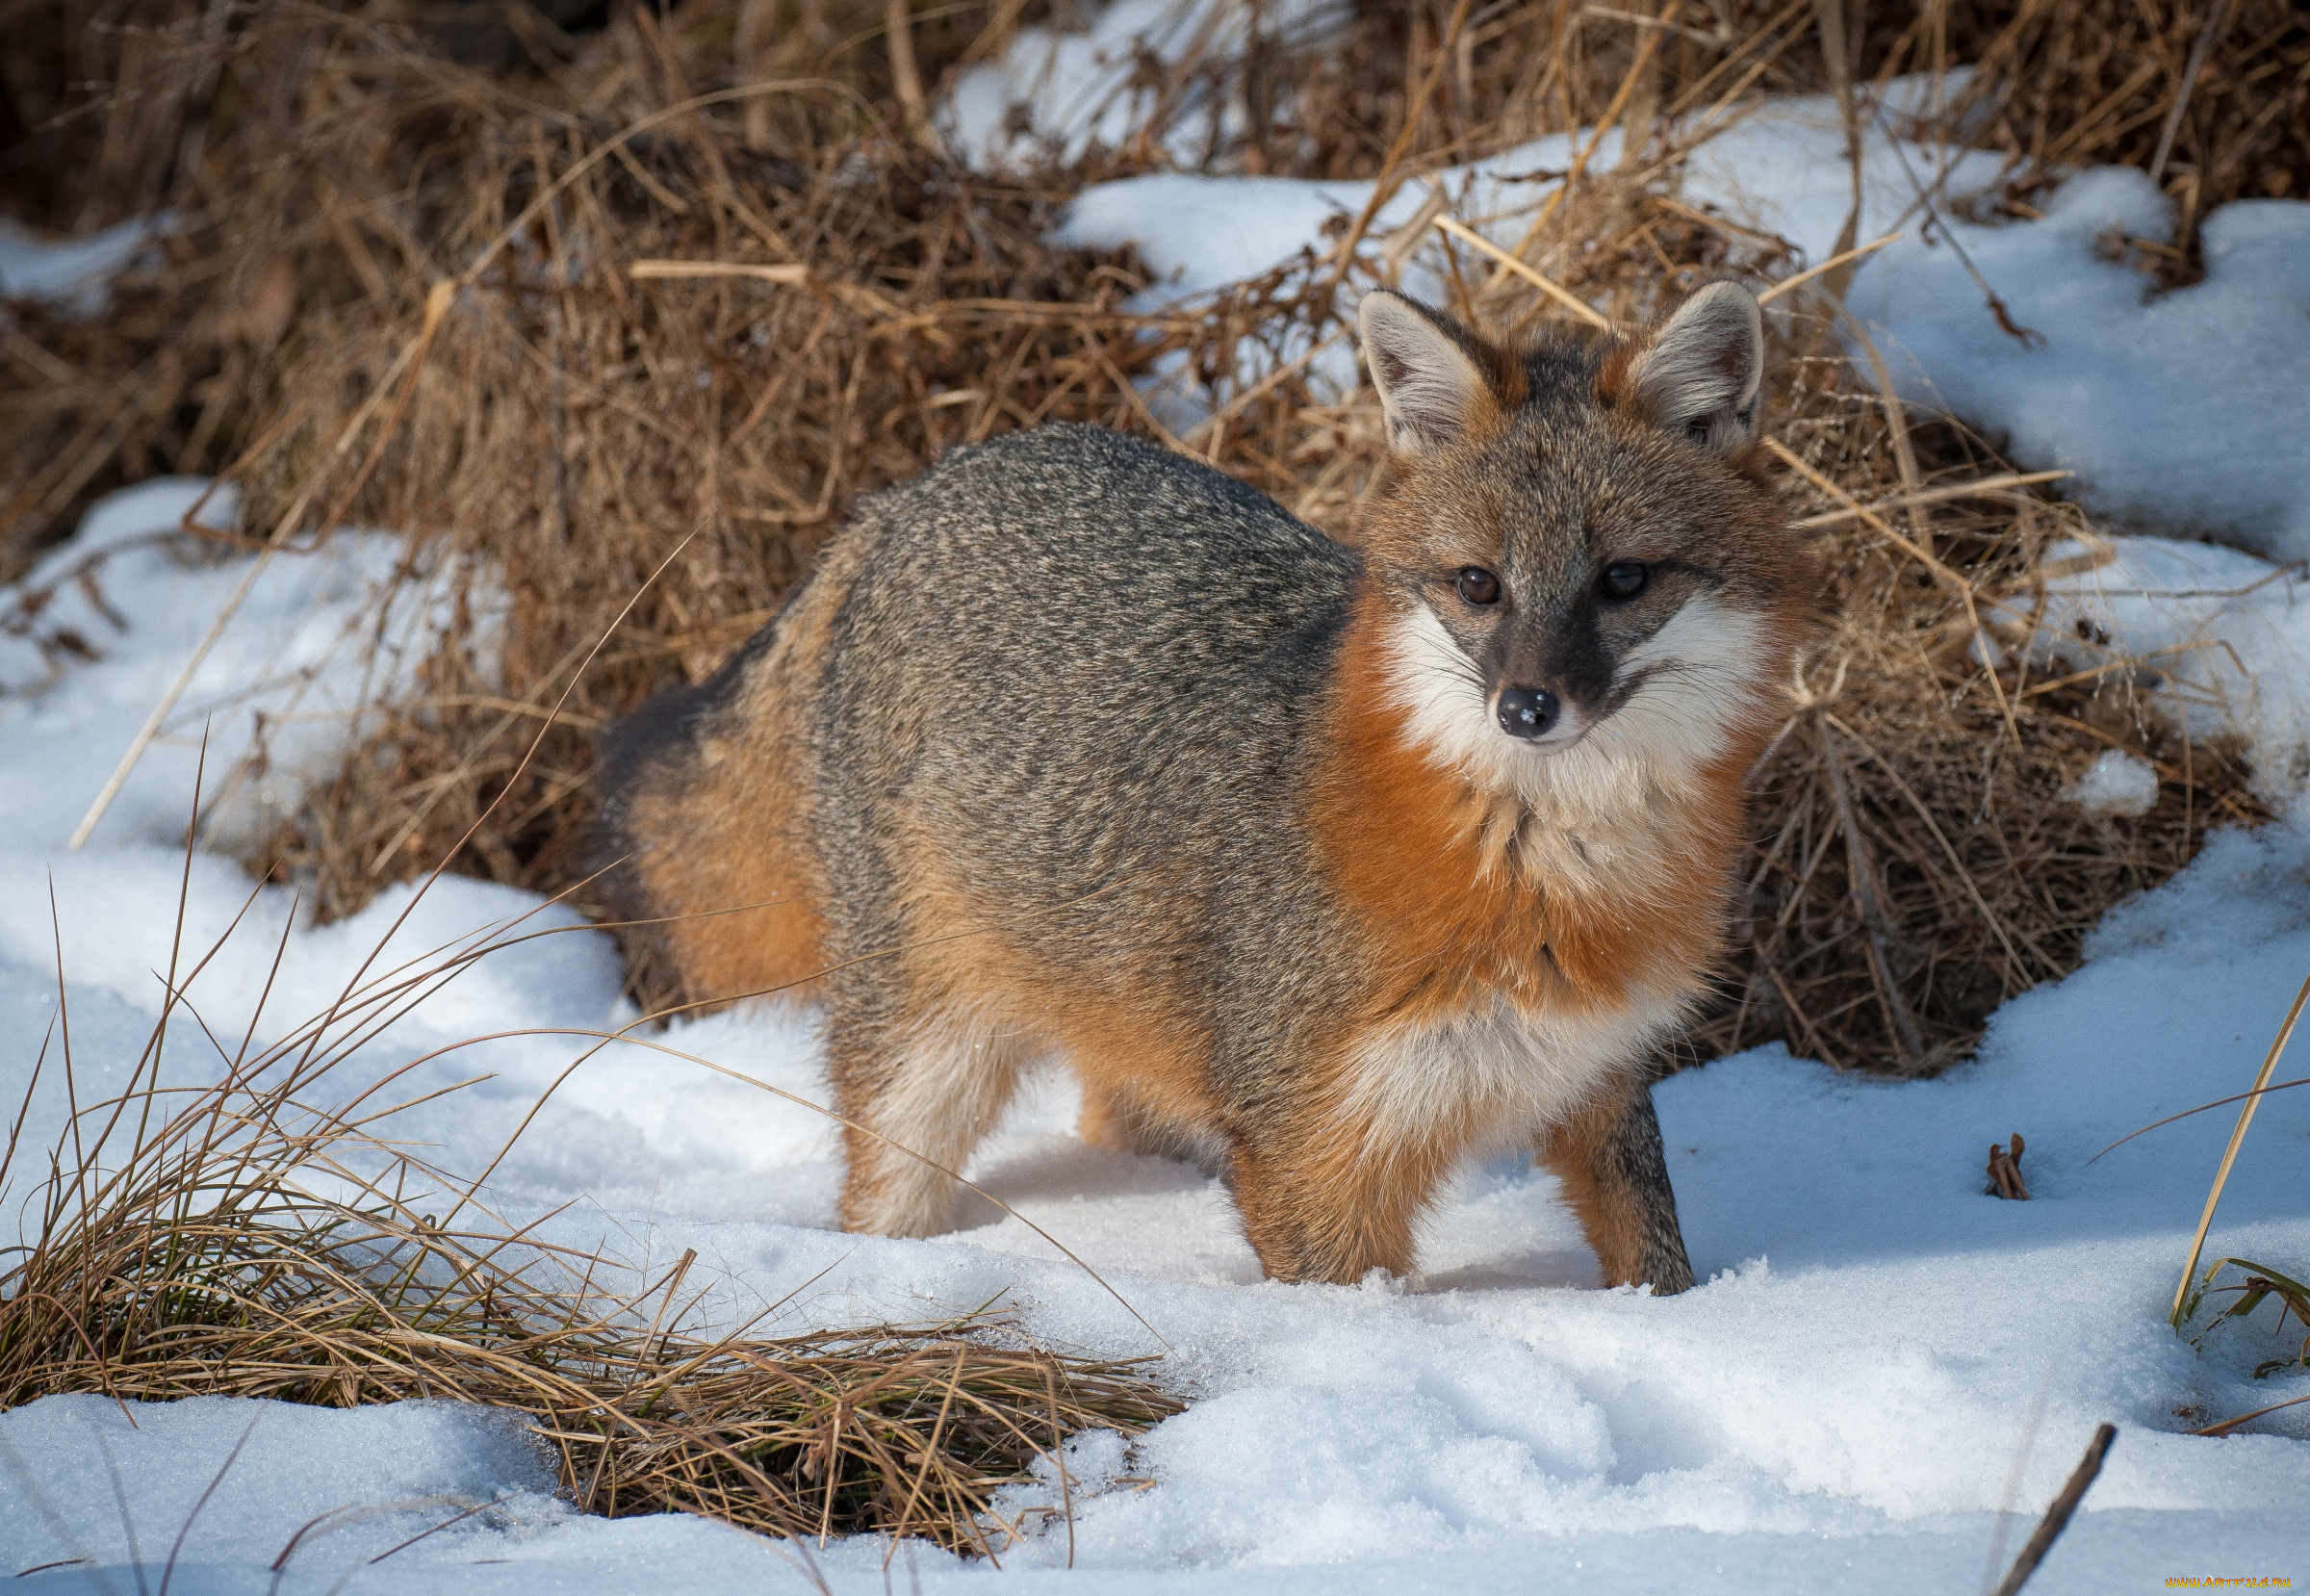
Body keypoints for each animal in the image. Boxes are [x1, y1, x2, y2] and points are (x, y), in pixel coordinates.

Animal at [586, 280, 1810, 1293]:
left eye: (1623, 581)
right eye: (1480, 586)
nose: (1527, 706)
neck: (1544, 871)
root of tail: (913, 489)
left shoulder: (1602, 1081)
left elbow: (1658, 1262)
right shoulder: (1311, 1151)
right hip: (924, 1064)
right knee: (878, 1193)